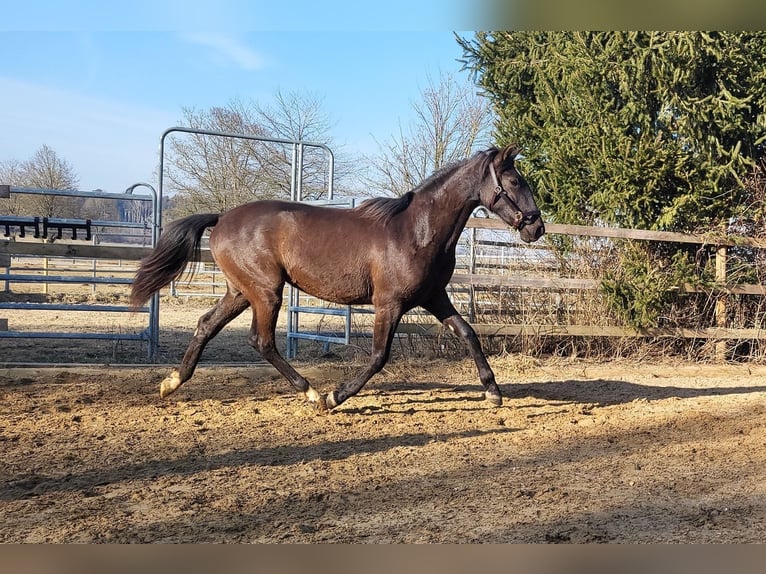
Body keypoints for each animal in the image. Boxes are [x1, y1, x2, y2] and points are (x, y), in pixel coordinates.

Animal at [129, 146, 544, 412]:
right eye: (515, 181)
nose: (536, 227)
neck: (418, 230)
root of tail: (222, 217)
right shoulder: (389, 304)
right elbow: (378, 356)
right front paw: (336, 397)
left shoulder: (433, 297)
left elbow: (468, 333)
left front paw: (493, 392)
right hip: (266, 292)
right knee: (261, 341)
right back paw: (312, 394)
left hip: (240, 292)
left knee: (206, 325)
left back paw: (171, 383)